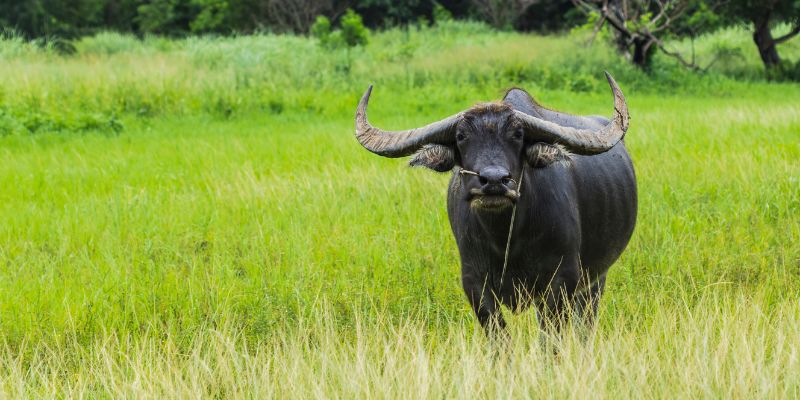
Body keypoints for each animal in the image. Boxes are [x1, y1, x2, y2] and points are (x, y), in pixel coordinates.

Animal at [356, 73, 636, 336]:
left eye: (518, 135)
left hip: (595, 279)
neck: (506, 238)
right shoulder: (474, 283)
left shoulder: (563, 279)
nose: (493, 180)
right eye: (461, 136)